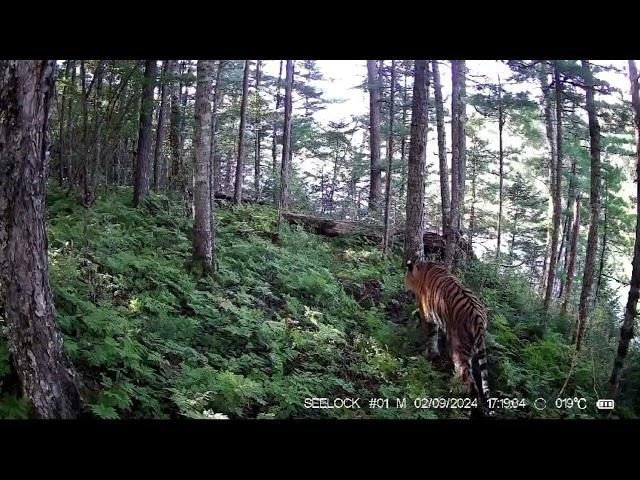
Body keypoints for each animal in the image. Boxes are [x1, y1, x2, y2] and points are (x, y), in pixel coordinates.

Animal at [404, 258, 490, 412]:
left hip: (460, 347)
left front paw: (429, 354)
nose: (403, 287)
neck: (422, 268)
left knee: (468, 379)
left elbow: (430, 336)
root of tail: (478, 318)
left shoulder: (427, 315)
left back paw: (456, 394)